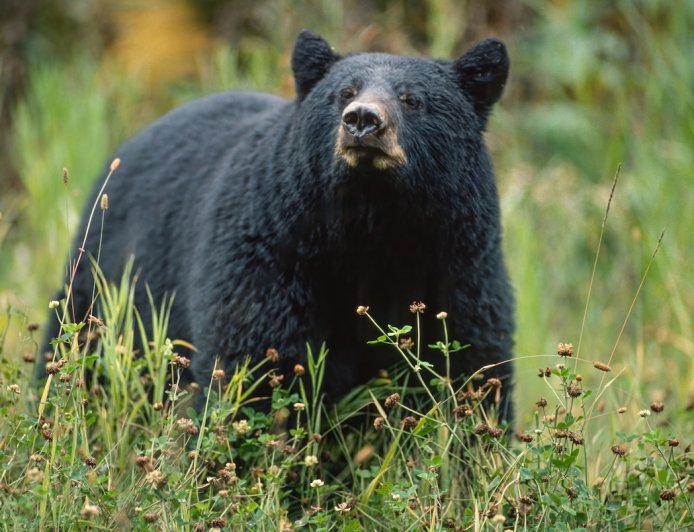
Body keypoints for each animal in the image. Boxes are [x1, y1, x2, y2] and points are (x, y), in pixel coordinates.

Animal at [41, 30, 514, 420]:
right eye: (343, 93)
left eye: (412, 98)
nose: (362, 120)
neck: (369, 226)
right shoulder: (273, 256)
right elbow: (259, 367)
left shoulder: (459, 265)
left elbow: (469, 362)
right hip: (106, 280)